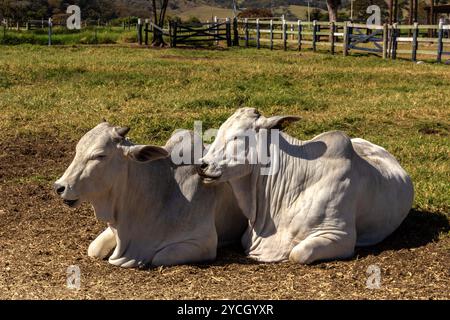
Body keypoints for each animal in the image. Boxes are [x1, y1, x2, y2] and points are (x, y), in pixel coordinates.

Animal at [56, 122, 248, 268]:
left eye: (99, 155)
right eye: (77, 149)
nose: (59, 186)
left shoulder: (203, 243)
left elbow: (158, 257)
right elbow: (93, 249)